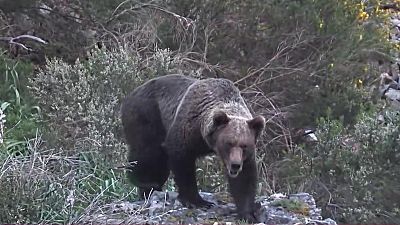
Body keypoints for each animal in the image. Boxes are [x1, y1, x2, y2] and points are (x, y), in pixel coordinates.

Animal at [122, 74, 266, 221]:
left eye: (244, 145)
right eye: (229, 143)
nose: (235, 165)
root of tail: (132, 93)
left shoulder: (245, 155)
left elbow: (245, 179)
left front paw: (248, 213)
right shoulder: (187, 129)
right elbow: (183, 163)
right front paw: (198, 201)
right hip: (147, 116)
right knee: (148, 154)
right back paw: (146, 184)